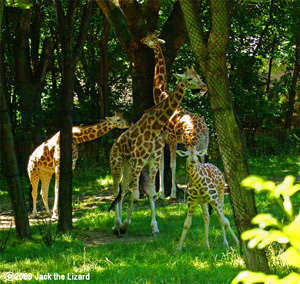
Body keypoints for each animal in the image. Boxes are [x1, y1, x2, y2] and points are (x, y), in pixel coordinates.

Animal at [109, 65, 205, 236]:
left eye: (197, 75)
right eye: (189, 78)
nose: (203, 85)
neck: (154, 127)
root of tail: (115, 144)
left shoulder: (152, 161)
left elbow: (151, 194)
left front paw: (154, 228)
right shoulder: (139, 161)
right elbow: (136, 196)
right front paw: (126, 225)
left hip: (127, 166)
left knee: (122, 189)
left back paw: (117, 225)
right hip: (117, 163)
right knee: (115, 190)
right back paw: (117, 225)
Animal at [142, 33, 210, 199]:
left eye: (150, 38)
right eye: (195, 76)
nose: (142, 40)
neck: (161, 96)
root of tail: (204, 130)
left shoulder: (161, 139)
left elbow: (162, 164)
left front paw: (161, 193)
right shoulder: (172, 141)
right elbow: (171, 164)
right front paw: (171, 192)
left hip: (192, 143)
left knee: (195, 161)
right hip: (204, 144)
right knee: (204, 160)